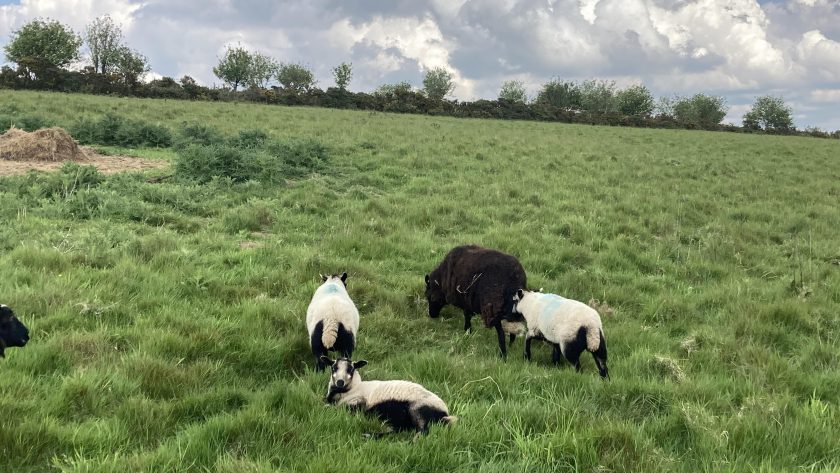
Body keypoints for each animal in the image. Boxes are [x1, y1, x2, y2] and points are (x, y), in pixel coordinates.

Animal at [322, 356, 456, 437]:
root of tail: (444, 413)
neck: (353, 388)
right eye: (334, 368)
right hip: (401, 418)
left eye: (351, 369)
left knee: (422, 431)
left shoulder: (357, 402)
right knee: (399, 430)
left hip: (418, 409)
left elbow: (333, 408)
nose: (340, 382)